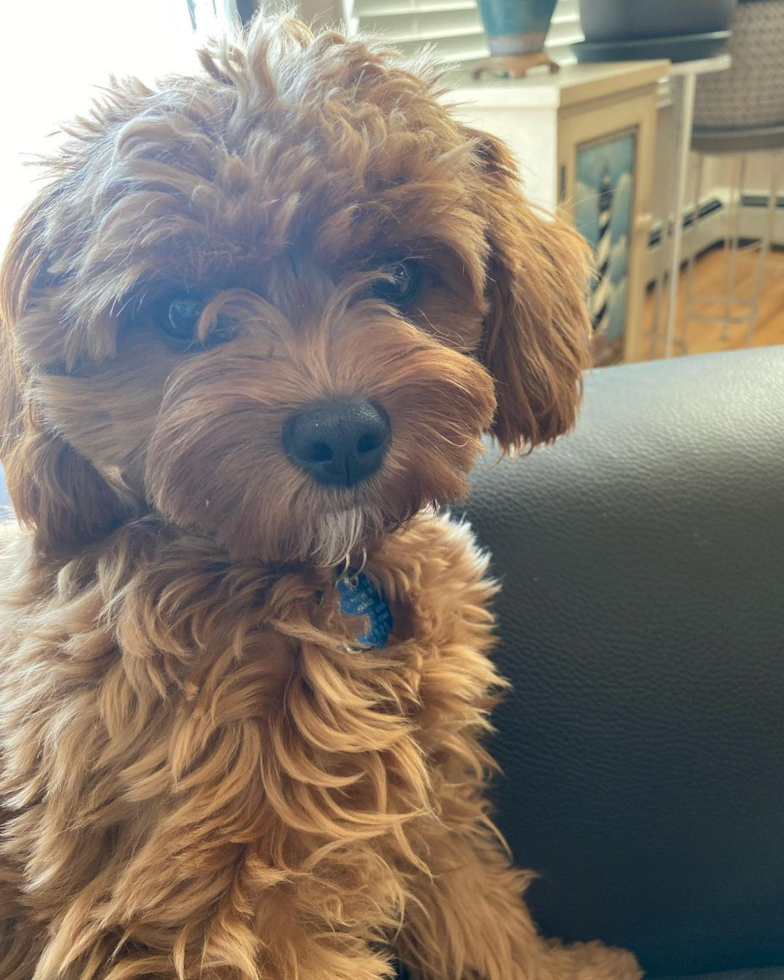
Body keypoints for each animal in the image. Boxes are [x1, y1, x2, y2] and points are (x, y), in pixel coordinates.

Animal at [0, 13, 640, 980]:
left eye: (401, 277)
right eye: (181, 312)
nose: (341, 434)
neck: (320, 580)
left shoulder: (429, 800)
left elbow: (485, 925)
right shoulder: (203, 920)